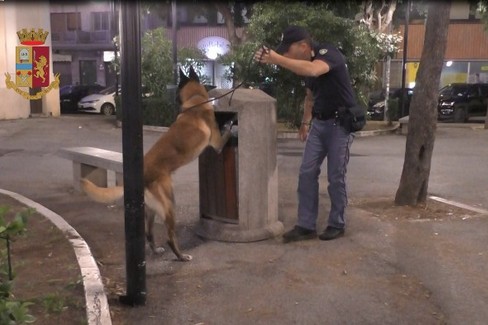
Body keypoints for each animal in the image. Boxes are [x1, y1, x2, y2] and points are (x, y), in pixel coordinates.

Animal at [81, 66, 235, 260]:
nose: (173, 100)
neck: (195, 102)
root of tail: (141, 176)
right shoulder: (217, 144)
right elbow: (226, 132)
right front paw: (230, 123)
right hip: (169, 204)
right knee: (169, 236)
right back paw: (181, 256)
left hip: (152, 209)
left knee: (148, 233)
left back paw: (156, 250)